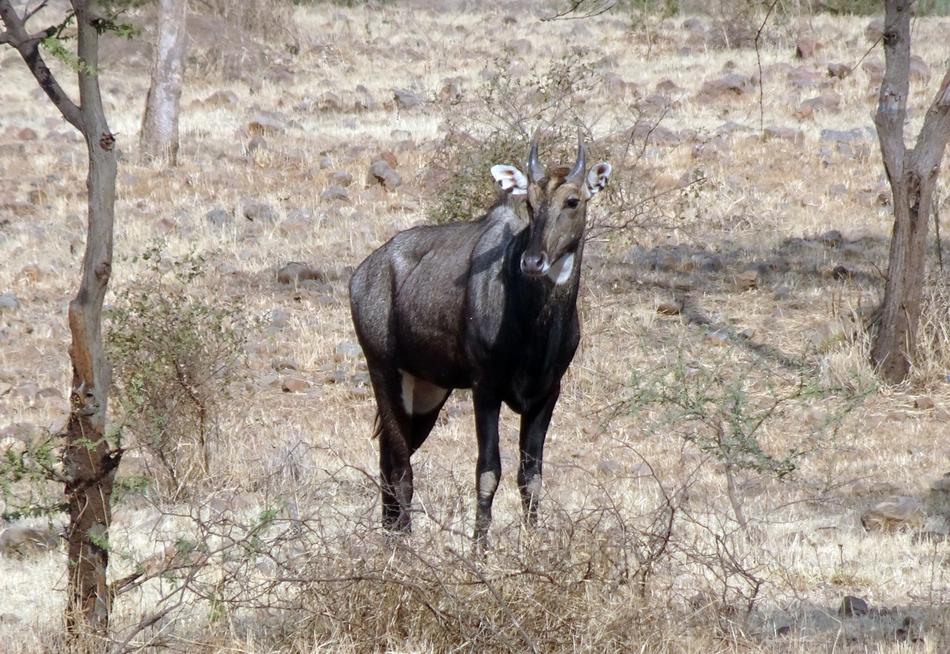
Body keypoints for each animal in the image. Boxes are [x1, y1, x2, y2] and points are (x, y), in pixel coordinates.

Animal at [349, 135, 611, 546]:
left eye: (573, 201)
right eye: (530, 202)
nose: (533, 261)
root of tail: (363, 273)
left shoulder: (546, 395)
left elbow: (531, 478)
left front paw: (531, 547)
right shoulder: (485, 389)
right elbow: (488, 473)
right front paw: (479, 551)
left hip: (427, 393)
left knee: (389, 456)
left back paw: (392, 537)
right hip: (384, 373)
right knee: (401, 466)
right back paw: (403, 546)